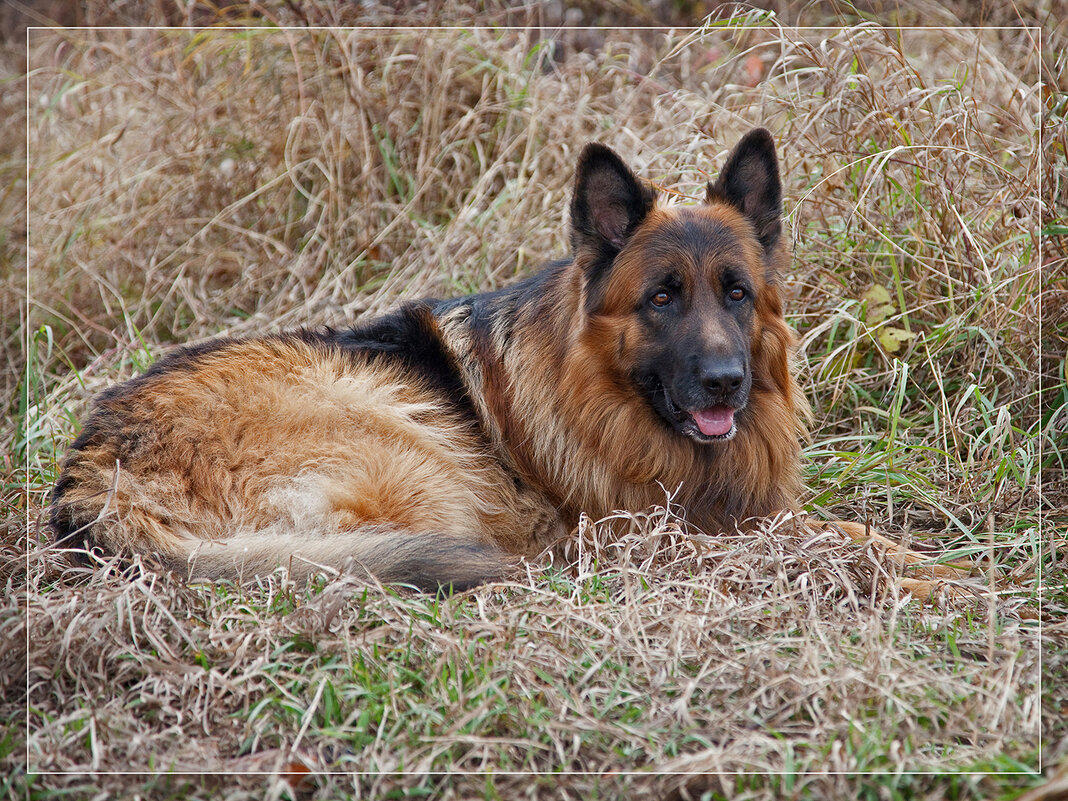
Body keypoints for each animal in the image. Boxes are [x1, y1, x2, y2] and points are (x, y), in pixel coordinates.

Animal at [50, 127, 811, 589]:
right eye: (661, 297)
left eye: (737, 293)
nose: (726, 384)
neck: (599, 387)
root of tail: (94, 472)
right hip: (407, 446)